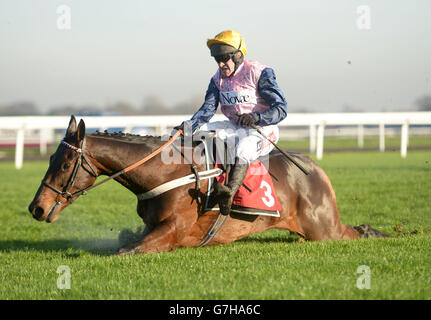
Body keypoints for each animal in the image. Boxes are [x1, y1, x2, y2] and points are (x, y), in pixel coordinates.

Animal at [28, 115, 390, 255]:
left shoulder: (173, 229)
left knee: (356, 231)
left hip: (324, 230)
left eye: (64, 164)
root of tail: (315, 169)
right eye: (50, 159)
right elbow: (124, 239)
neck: (163, 174)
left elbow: (125, 250)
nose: (37, 208)